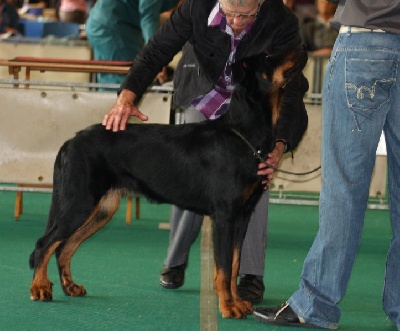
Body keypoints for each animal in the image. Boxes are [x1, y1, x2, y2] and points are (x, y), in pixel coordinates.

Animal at [29, 46, 308, 320]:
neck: (245, 133)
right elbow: (224, 267)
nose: (302, 47)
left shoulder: (243, 216)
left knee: (64, 247)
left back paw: (70, 286)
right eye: (268, 56)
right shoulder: (225, 216)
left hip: (102, 209)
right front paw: (228, 306)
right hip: (80, 202)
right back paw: (40, 288)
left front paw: (238, 301)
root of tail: (70, 141)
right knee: (45, 244)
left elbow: (235, 263)